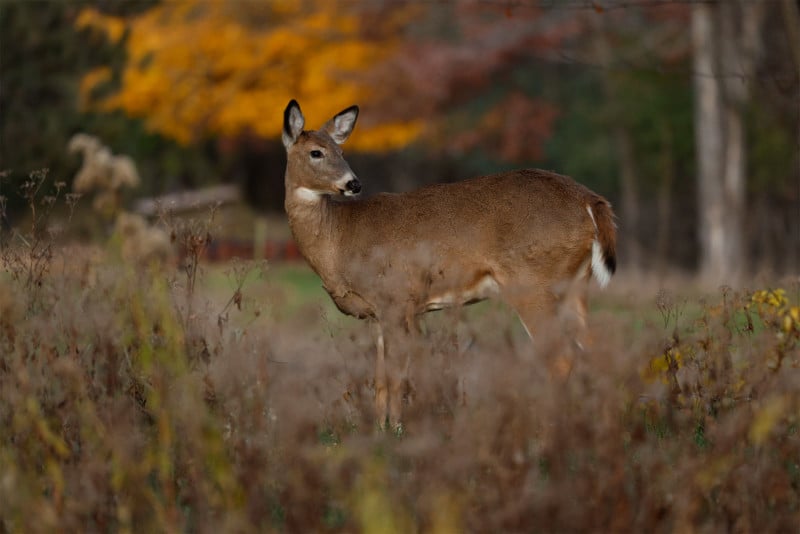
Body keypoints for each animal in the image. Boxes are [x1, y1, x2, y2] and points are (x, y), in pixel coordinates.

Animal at [282, 101, 620, 436]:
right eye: (316, 152)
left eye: (340, 151)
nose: (353, 184)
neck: (339, 238)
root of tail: (590, 201)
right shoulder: (379, 312)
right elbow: (380, 378)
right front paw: (380, 429)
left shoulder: (397, 298)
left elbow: (397, 374)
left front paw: (397, 429)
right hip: (575, 284)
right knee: (595, 349)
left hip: (533, 283)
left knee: (561, 357)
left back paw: (546, 429)